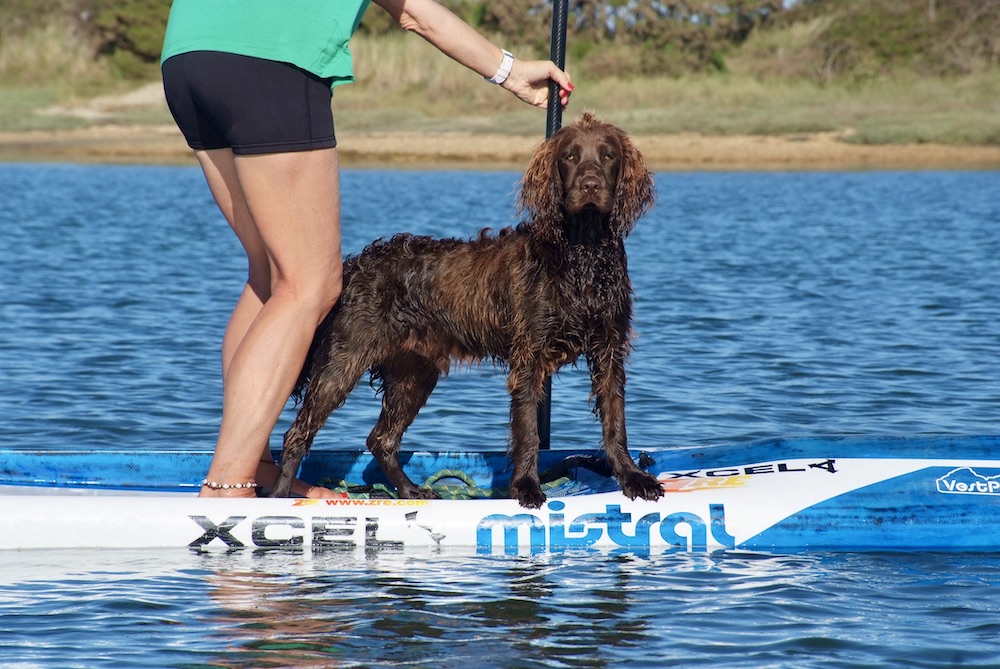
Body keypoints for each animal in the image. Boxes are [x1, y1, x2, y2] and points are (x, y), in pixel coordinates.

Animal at [272, 113, 664, 506]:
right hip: (345, 361)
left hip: (414, 373)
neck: (582, 255)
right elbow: (528, 429)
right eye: (569, 156)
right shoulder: (529, 355)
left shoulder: (609, 348)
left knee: (380, 440)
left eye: (609, 155)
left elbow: (615, 419)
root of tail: (354, 265)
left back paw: (411, 489)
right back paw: (278, 494)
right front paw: (526, 485)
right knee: (297, 433)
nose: (590, 185)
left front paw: (632, 477)